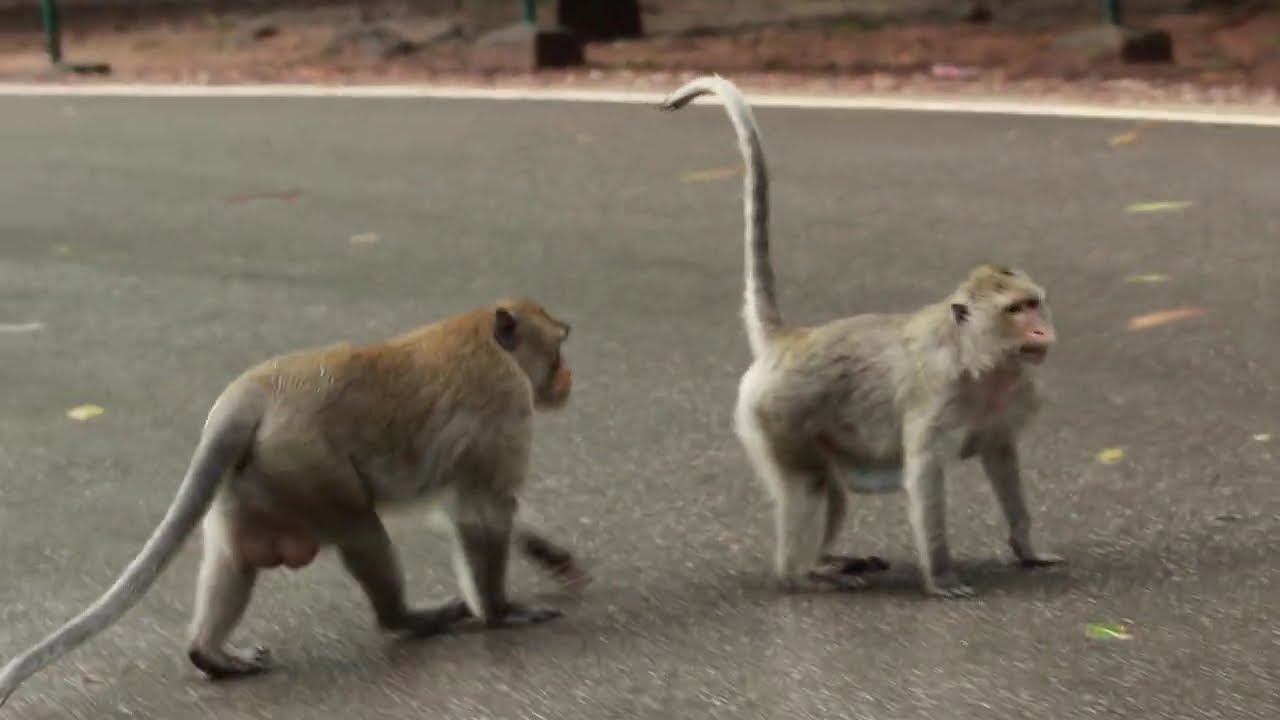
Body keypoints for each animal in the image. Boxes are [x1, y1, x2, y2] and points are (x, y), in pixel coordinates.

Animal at [0, 298, 584, 708]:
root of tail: (251, 392)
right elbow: (480, 510)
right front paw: (502, 612)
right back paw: (409, 619)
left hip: (252, 482)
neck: (489, 342)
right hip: (308, 468)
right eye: (557, 348)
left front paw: (552, 553)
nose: (567, 378)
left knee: (234, 561)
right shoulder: (503, 408)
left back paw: (211, 655)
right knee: (363, 531)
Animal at [659, 75, 1064, 598]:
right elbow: (925, 474)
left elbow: (1001, 458)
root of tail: (790, 339)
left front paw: (1028, 550)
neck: (980, 362)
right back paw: (804, 576)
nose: (1041, 328)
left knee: (829, 488)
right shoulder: (939, 397)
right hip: (778, 414)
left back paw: (831, 562)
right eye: (1015, 309)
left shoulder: (1012, 399)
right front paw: (942, 575)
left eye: (1033, 302)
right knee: (810, 486)